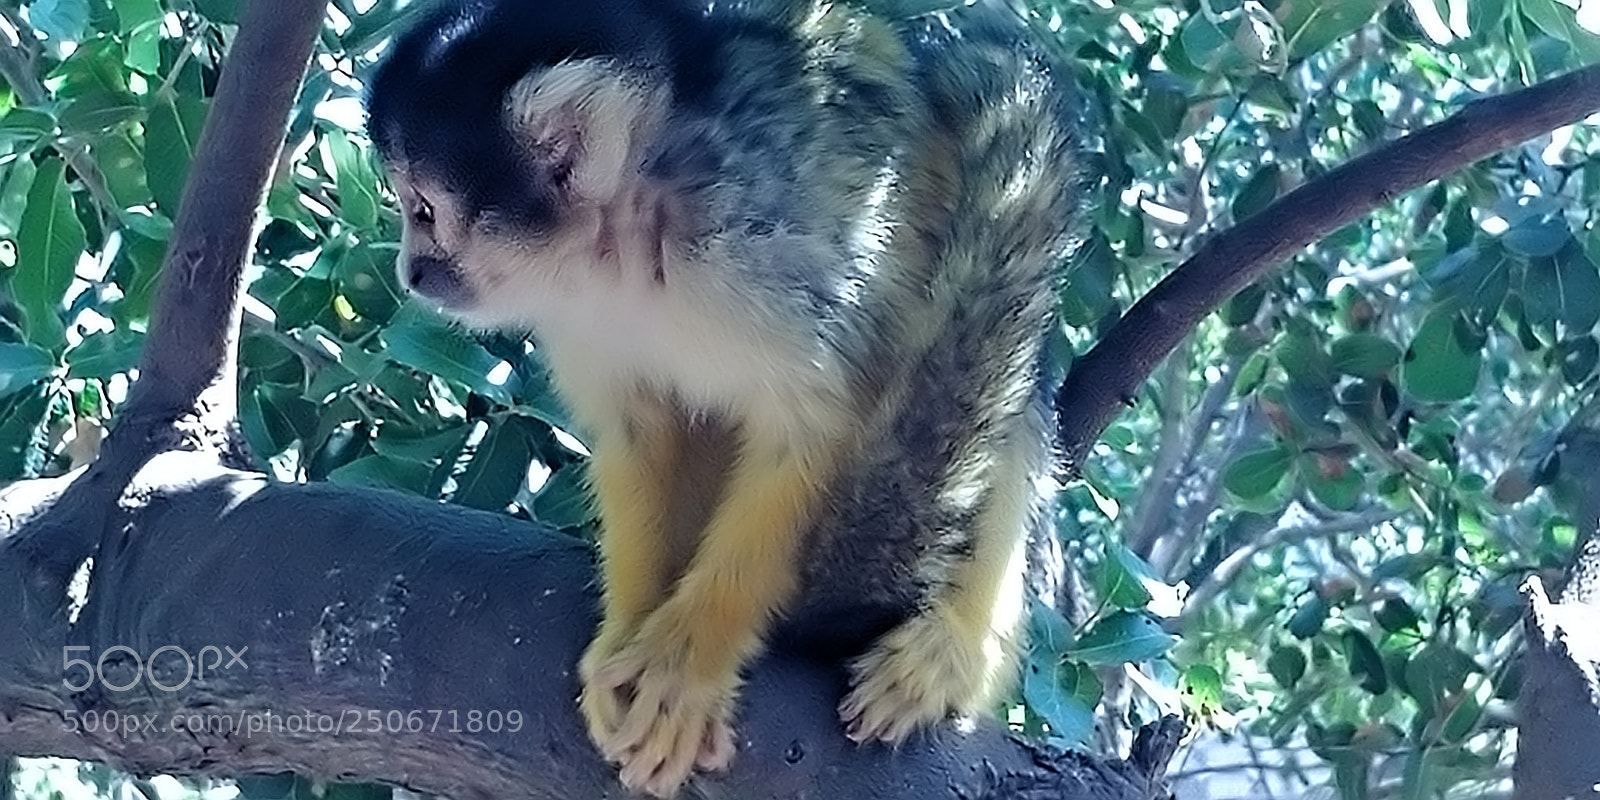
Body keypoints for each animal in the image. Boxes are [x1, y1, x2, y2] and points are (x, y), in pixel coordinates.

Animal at [365, 0, 1083, 795]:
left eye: (424, 211)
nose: (412, 271)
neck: (629, 236)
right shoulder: (576, 315)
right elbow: (642, 432)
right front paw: (628, 632)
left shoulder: (767, 246)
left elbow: (818, 427)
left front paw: (685, 665)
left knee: (1001, 395)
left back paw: (955, 647)